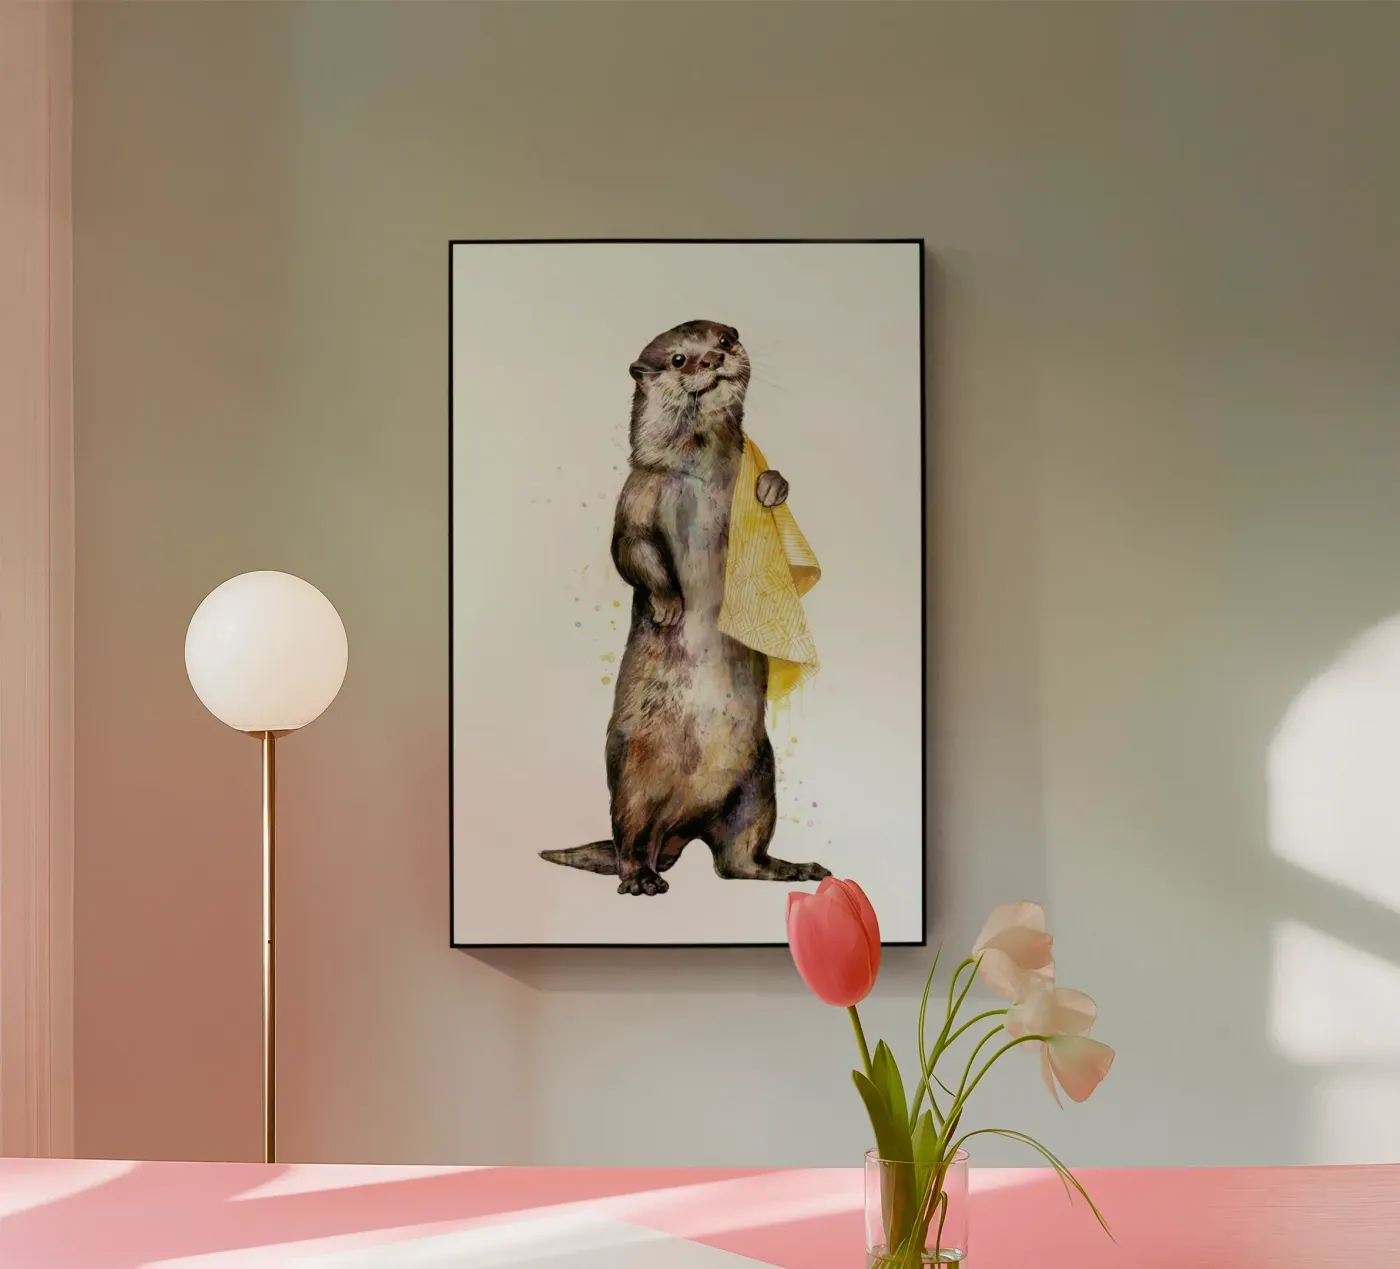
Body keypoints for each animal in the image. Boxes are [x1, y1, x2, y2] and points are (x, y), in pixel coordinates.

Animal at [540, 320, 832, 896]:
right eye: (678, 358)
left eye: (725, 337)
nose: (713, 359)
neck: (700, 473)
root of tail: (681, 826)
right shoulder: (638, 492)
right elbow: (630, 551)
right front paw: (670, 605)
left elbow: (775, 487)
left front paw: (771, 485)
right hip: (633, 778)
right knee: (631, 841)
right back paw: (642, 881)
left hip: (758, 785)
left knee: (737, 860)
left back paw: (792, 868)